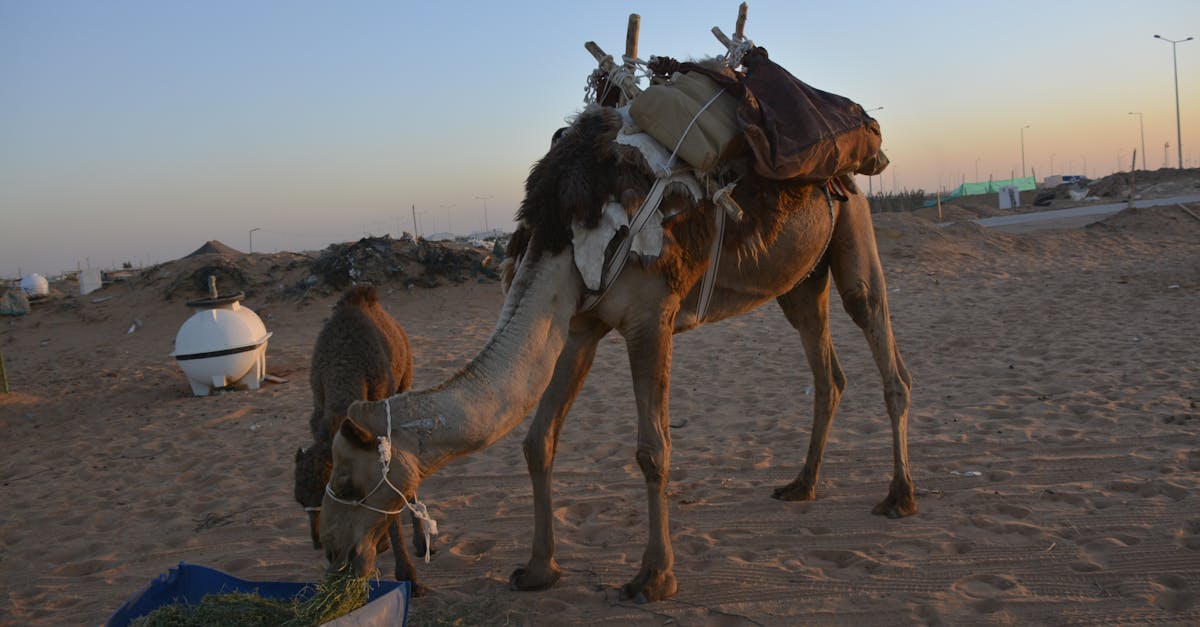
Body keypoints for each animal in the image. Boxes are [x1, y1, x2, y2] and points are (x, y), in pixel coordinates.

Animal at [319, 104, 914, 603]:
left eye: (348, 481)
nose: (334, 555)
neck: (561, 235)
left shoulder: (650, 320)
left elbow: (653, 450)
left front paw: (654, 578)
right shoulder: (577, 327)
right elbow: (538, 441)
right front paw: (538, 569)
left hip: (854, 228)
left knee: (885, 349)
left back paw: (899, 496)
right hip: (801, 281)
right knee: (828, 373)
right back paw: (801, 485)